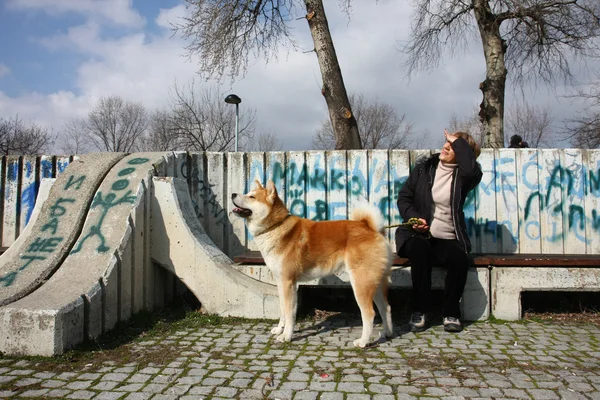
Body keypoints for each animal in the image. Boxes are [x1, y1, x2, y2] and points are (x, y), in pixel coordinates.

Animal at [232, 180, 396, 346]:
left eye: (251, 197)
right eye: (247, 193)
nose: (232, 194)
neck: (276, 226)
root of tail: (371, 228)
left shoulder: (288, 283)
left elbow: (290, 314)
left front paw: (286, 336)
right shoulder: (280, 282)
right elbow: (282, 310)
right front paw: (279, 329)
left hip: (361, 283)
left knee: (369, 313)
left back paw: (362, 342)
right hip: (374, 282)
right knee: (386, 308)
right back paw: (387, 333)